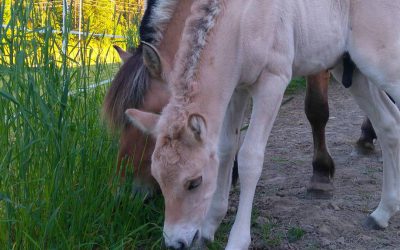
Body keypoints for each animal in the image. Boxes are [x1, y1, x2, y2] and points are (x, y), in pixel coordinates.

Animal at [126, 0, 400, 249]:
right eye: (159, 178)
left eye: (194, 182)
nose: (176, 243)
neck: (242, 20)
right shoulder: (236, 89)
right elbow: (225, 149)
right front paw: (208, 228)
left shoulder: (273, 80)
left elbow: (250, 157)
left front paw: (237, 241)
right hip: (353, 72)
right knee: (389, 125)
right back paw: (382, 213)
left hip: (384, 64)